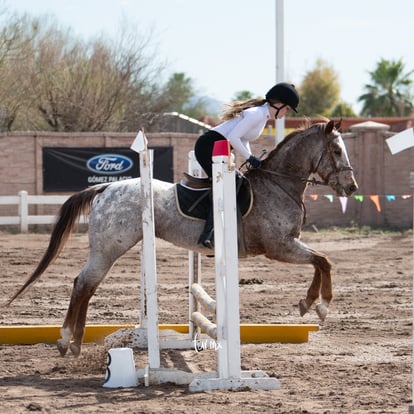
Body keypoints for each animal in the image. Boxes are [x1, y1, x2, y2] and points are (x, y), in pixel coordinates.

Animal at [8, 119, 360, 356]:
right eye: (337, 150)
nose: (351, 187)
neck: (278, 184)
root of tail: (105, 188)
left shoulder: (284, 246)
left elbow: (321, 261)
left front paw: (311, 304)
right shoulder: (279, 247)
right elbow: (323, 261)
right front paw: (319, 305)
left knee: (85, 286)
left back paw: (74, 344)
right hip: (109, 248)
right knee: (83, 284)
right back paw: (66, 340)